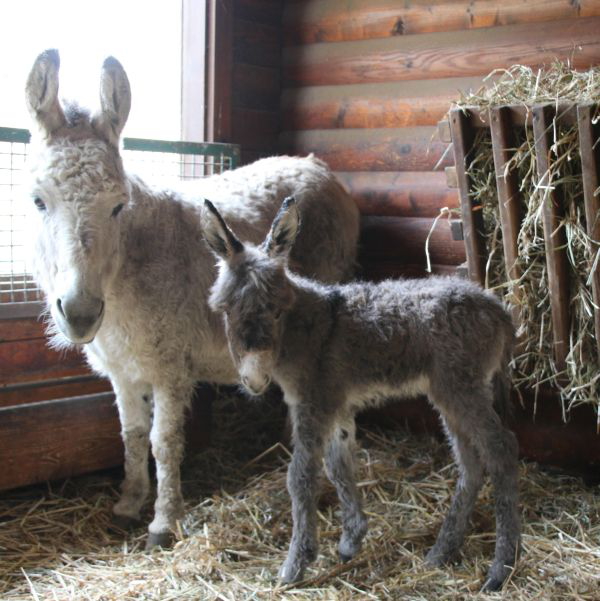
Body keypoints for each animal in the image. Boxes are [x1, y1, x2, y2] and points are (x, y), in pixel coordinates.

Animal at [203, 198, 520, 592]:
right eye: (226, 311)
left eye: (277, 310)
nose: (254, 379)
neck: (307, 326)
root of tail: (496, 306)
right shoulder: (336, 405)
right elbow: (338, 466)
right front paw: (350, 540)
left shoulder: (312, 403)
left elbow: (301, 476)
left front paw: (296, 565)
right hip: (451, 392)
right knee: (472, 462)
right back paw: (442, 551)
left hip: (461, 388)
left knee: (501, 450)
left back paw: (500, 567)